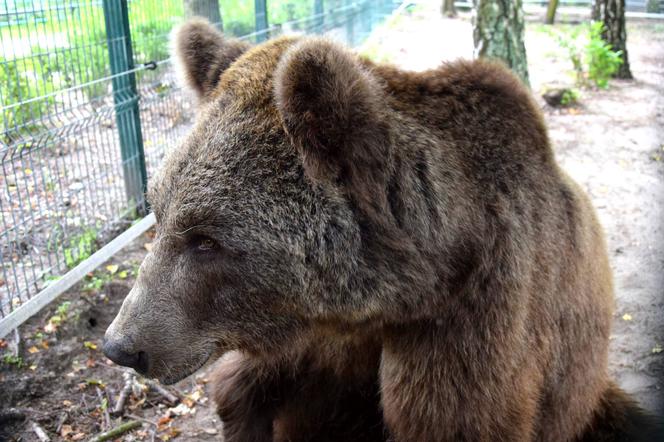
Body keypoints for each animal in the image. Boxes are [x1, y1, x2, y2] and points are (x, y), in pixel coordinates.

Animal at [102, 19, 660, 440]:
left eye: (206, 240)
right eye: (158, 213)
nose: (122, 346)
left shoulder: (478, 317)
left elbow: (455, 419)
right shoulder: (319, 334)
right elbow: (246, 389)